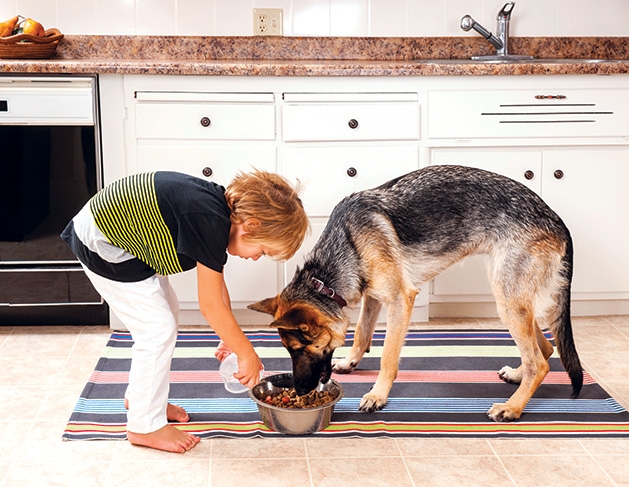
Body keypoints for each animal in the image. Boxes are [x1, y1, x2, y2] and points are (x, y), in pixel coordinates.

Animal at [248, 165, 580, 424]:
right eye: (288, 350)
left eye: (299, 349)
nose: (301, 391)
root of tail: (557, 219)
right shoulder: (373, 296)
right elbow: (362, 334)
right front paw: (351, 362)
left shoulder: (399, 300)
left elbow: (387, 357)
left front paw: (378, 395)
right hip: (514, 299)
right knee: (545, 349)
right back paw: (517, 376)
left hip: (507, 299)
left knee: (540, 362)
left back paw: (512, 407)